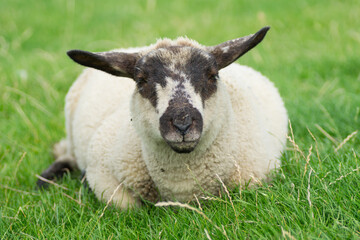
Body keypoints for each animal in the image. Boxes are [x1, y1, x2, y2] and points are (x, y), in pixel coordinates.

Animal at [38, 26, 288, 209]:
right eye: (141, 81)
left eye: (212, 76)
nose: (182, 124)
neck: (181, 186)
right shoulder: (102, 175)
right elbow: (127, 207)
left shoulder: (254, 178)